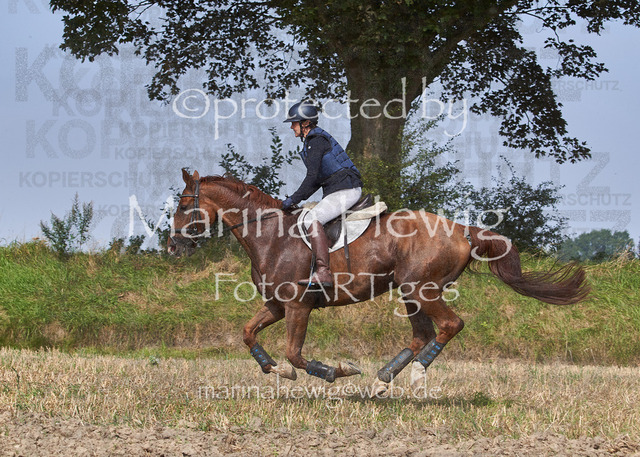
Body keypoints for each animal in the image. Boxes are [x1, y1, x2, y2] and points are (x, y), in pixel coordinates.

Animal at [168, 169, 590, 384]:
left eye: (184, 206)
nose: (173, 247)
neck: (269, 233)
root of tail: (462, 230)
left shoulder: (297, 306)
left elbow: (296, 353)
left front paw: (335, 370)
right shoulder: (276, 305)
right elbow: (248, 333)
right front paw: (273, 368)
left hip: (423, 289)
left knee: (449, 325)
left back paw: (414, 374)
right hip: (410, 292)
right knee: (422, 334)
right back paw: (384, 379)